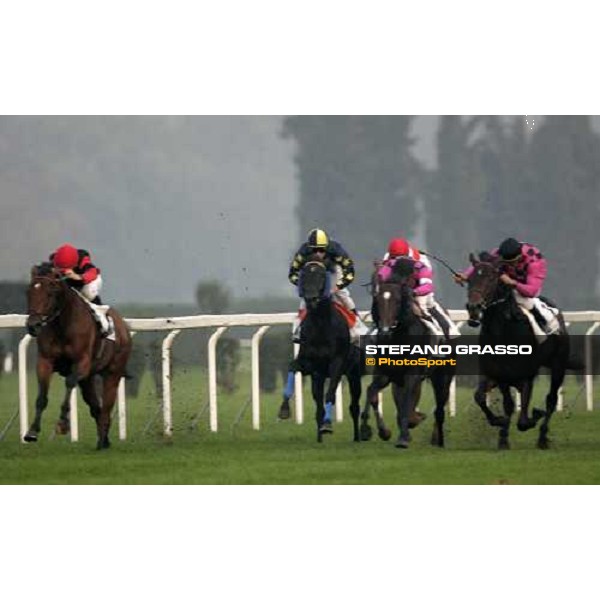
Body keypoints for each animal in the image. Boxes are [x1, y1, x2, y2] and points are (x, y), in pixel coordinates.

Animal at [24, 264, 132, 450]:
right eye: (29, 291)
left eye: (50, 293)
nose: (33, 325)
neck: (63, 326)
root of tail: (123, 326)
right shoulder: (45, 362)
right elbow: (41, 397)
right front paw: (32, 431)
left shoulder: (82, 363)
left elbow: (69, 383)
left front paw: (63, 423)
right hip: (88, 379)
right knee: (96, 407)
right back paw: (103, 440)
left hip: (113, 372)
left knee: (106, 407)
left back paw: (103, 439)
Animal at [294, 255, 364, 442]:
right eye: (304, 275)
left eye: (321, 276)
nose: (311, 299)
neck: (321, 327)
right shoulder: (315, 368)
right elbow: (318, 401)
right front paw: (319, 434)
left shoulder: (337, 363)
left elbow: (330, 395)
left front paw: (326, 425)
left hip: (353, 374)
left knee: (354, 405)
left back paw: (357, 437)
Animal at [358, 258, 452, 450]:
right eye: (378, 300)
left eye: (397, 300)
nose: (385, 331)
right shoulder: (386, 373)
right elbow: (372, 393)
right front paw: (373, 430)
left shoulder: (412, 373)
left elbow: (408, 400)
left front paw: (404, 436)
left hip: (443, 376)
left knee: (439, 405)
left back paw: (436, 438)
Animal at [464, 253, 576, 450]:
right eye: (470, 279)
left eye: (491, 278)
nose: (474, 308)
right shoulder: (498, 374)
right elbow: (487, 399)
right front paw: (501, 432)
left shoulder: (526, 376)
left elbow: (523, 420)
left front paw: (534, 415)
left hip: (558, 365)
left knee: (551, 399)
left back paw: (542, 437)